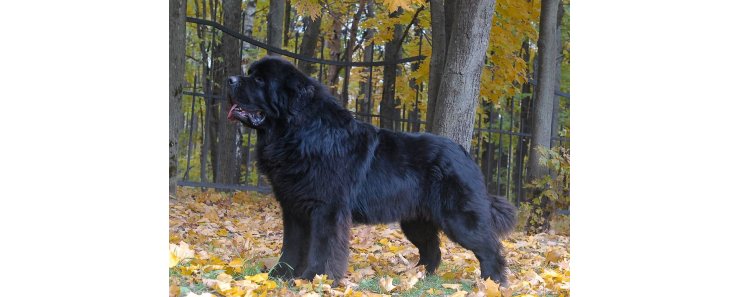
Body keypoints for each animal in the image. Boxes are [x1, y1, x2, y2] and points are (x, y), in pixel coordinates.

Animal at [225, 56, 516, 284]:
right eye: (251, 75)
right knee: (432, 249)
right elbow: (292, 246)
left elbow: (323, 246)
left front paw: (315, 279)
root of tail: (464, 153)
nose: (229, 79)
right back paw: (417, 278)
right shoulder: (294, 207)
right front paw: (278, 277)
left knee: (489, 247)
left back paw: (492, 283)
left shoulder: (327, 209)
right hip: (415, 221)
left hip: (459, 217)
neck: (300, 132)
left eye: (259, 81)